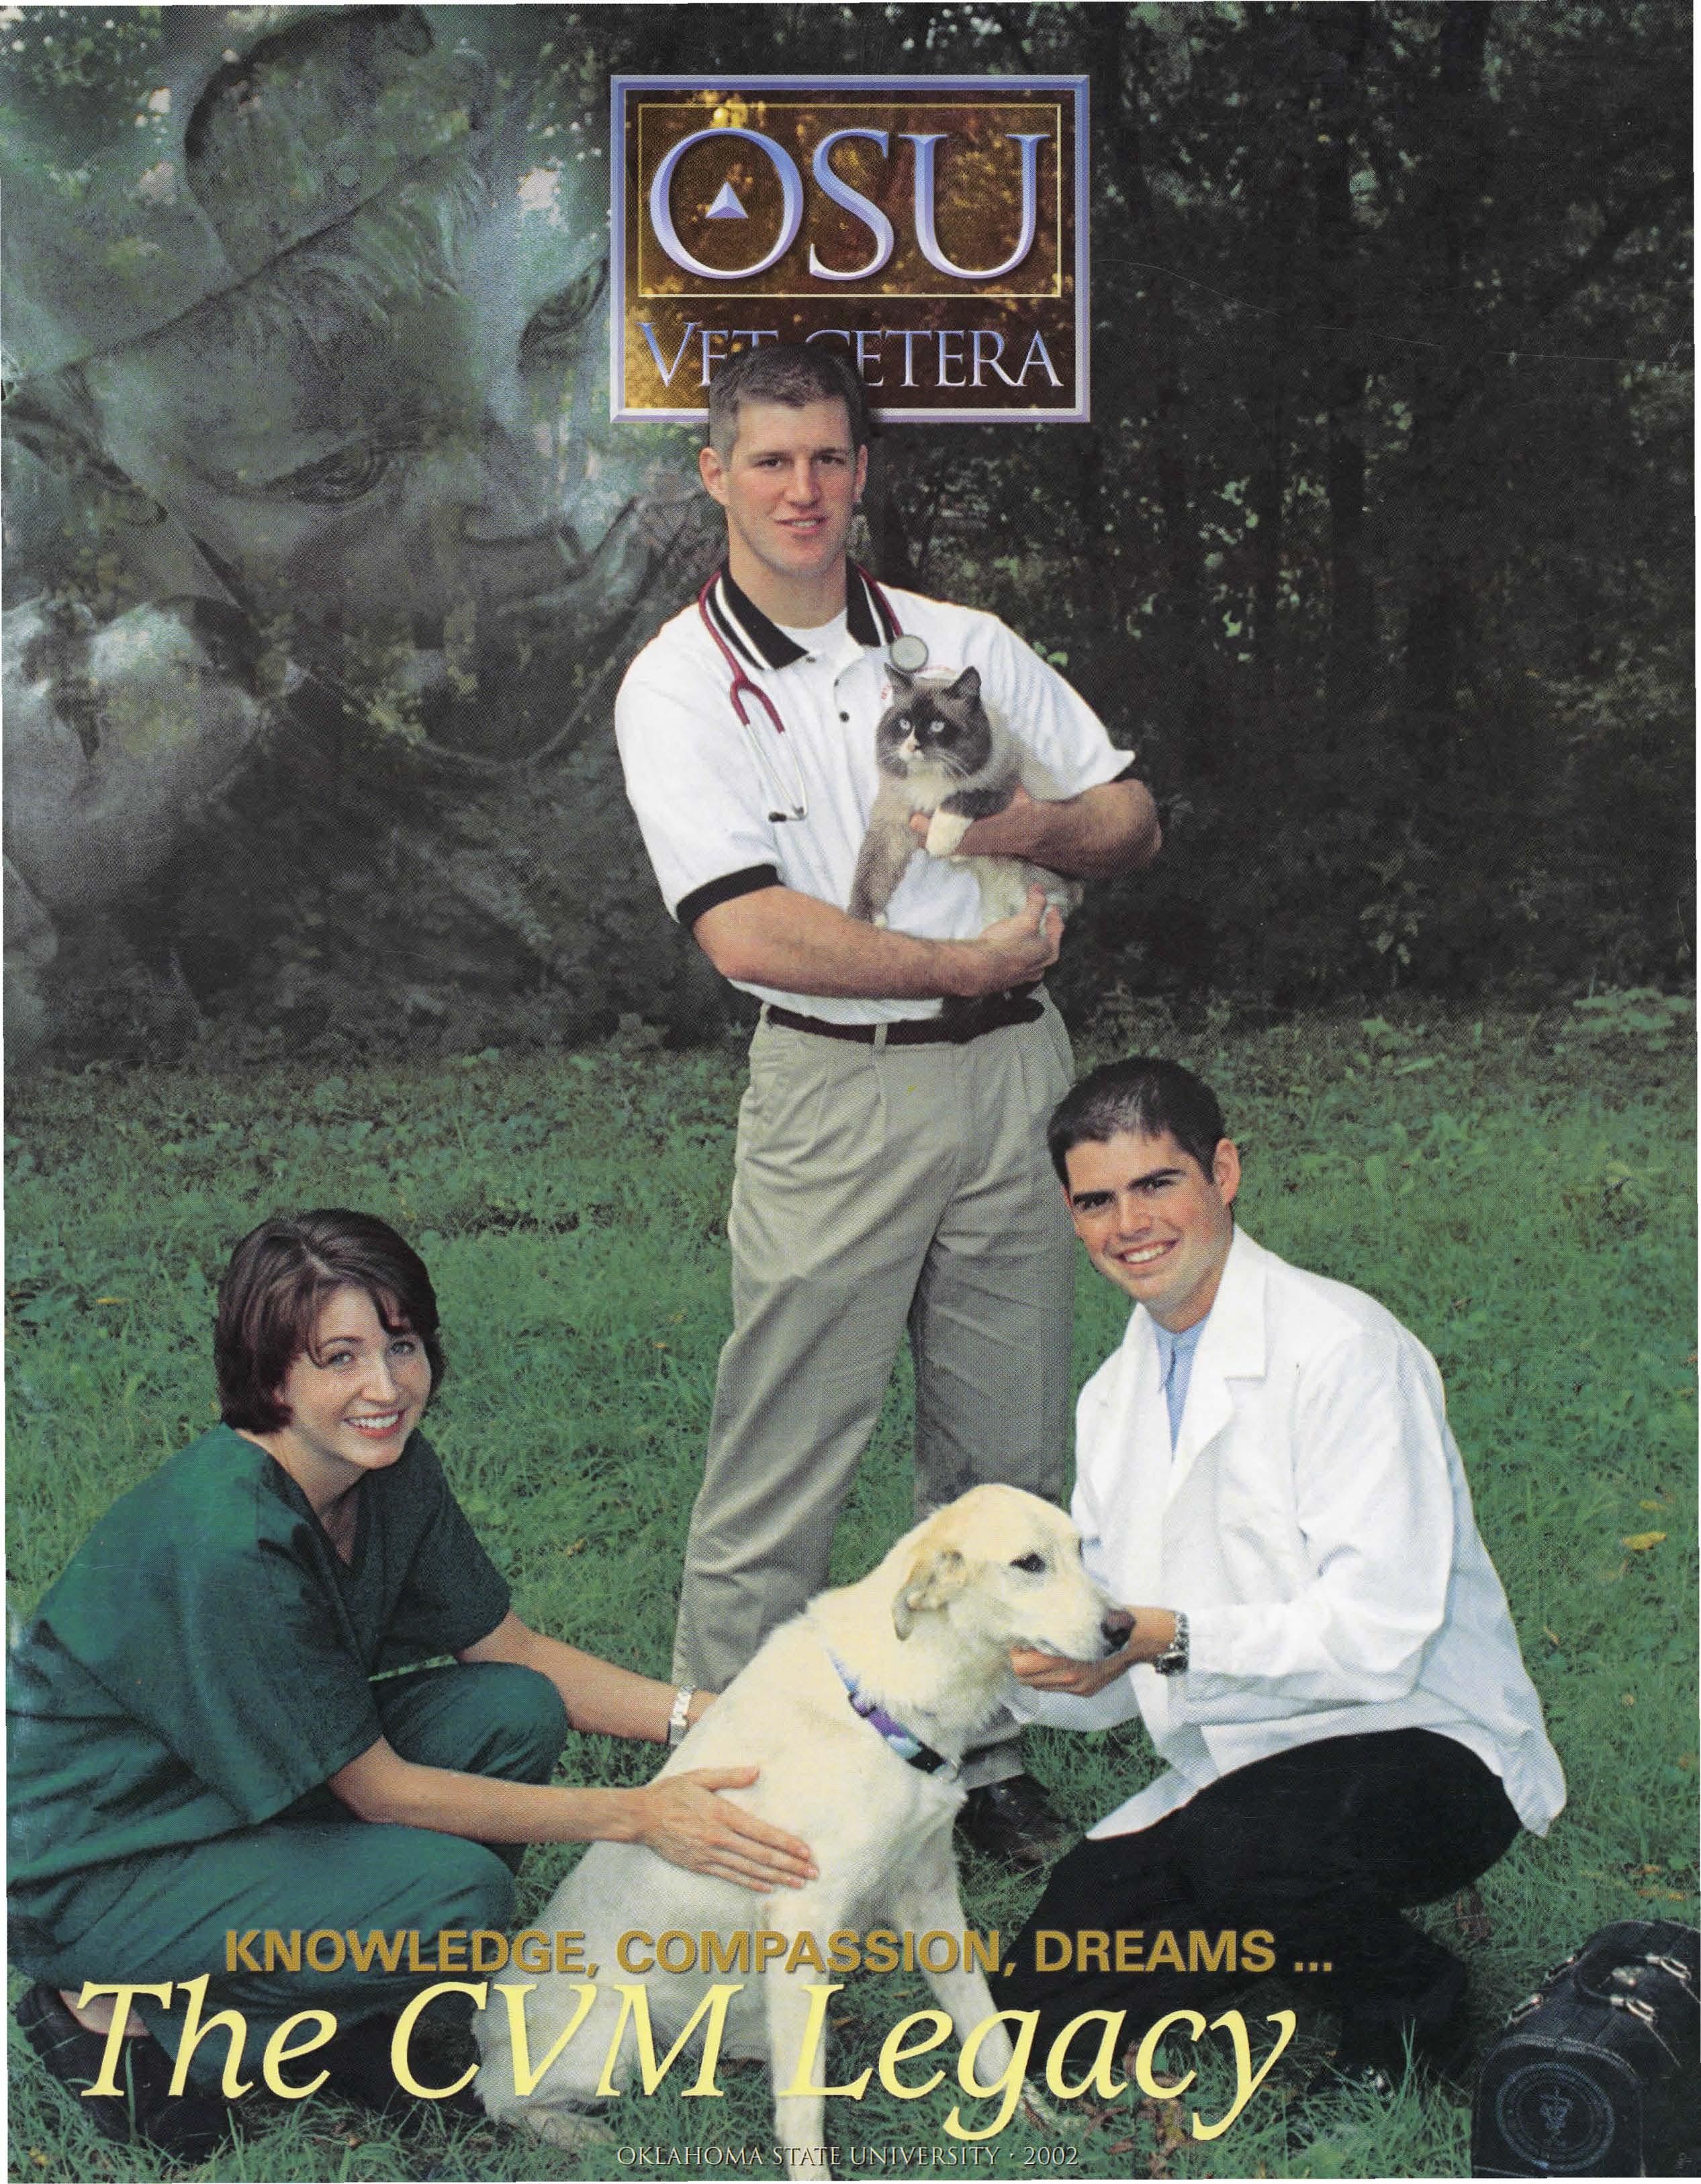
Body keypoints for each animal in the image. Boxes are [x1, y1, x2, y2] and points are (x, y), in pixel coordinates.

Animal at [474, 1485, 1119, 2175]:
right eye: (1028, 1564)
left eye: (1081, 1550)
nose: (1126, 1628)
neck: (884, 1701)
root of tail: (484, 2020)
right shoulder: (800, 1920)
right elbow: (802, 2106)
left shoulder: (929, 1898)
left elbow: (989, 2032)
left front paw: (1041, 2122)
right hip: (608, 2039)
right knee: (501, 2099)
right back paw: (582, 2134)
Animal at [846, 664, 1083, 931]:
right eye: (905, 724)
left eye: (937, 726)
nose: (913, 746)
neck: (931, 776)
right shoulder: (891, 825)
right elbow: (871, 875)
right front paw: (864, 920)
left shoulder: (1004, 790)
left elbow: (960, 799)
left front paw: (940, 843)